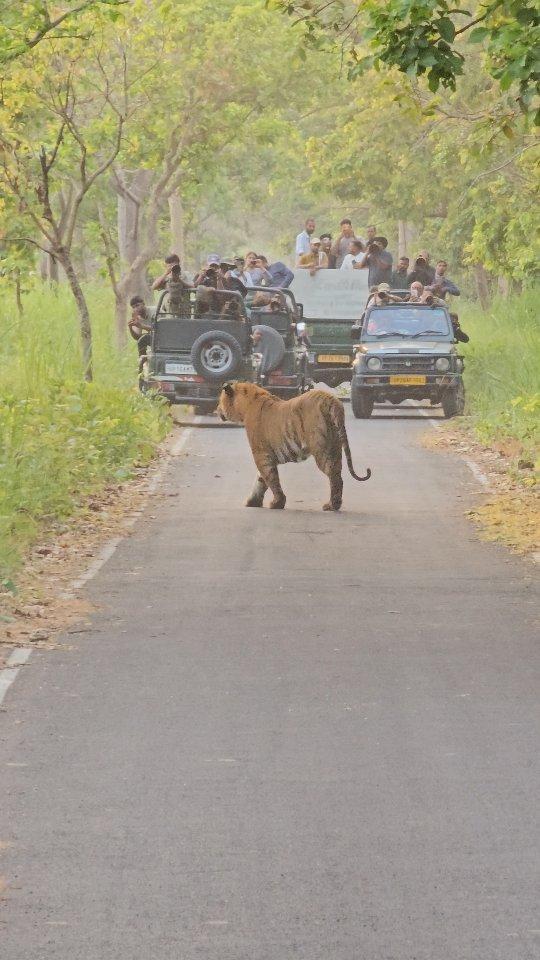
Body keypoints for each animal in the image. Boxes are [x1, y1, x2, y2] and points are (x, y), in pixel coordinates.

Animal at [216, 382, 372, 512]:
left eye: (220, 400)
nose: (216, 410)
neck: (245, 406)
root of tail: (331, 399)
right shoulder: (265, 456)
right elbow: (261, 480)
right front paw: (253, 502)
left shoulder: (261, 455)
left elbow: (271, 479)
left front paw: (277, 503)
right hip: (335, 446)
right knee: (339, 475)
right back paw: (335, 504)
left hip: (323, 451)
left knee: (334, 476)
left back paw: (332, 506)